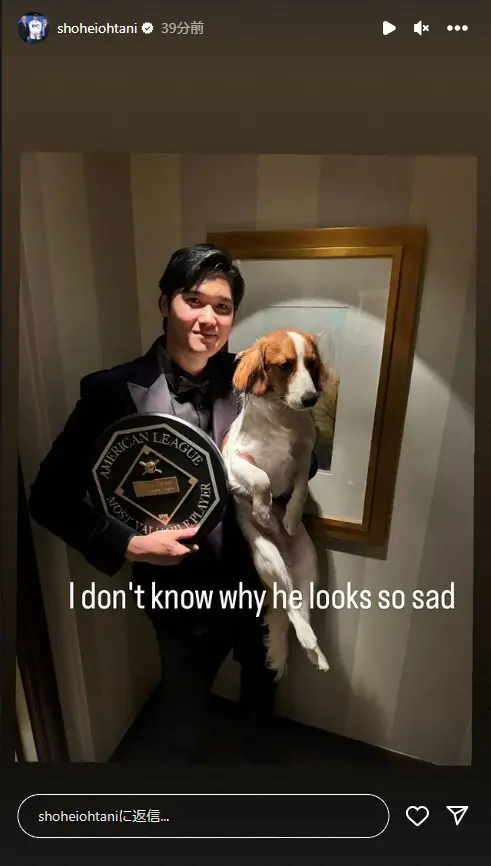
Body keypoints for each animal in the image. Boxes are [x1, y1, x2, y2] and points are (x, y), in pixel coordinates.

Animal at [222, 328, 329, 678]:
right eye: (285, 366)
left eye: (311, 364)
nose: (310, 399)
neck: (283, 417)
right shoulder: (233, 460)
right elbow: (261, 479)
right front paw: (264, 511)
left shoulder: (304, 458)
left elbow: (299, 488)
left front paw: (291, 517)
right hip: (268, 560)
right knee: (292, 609)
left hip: (310, 567)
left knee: (300, 611)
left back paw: (316, 652)